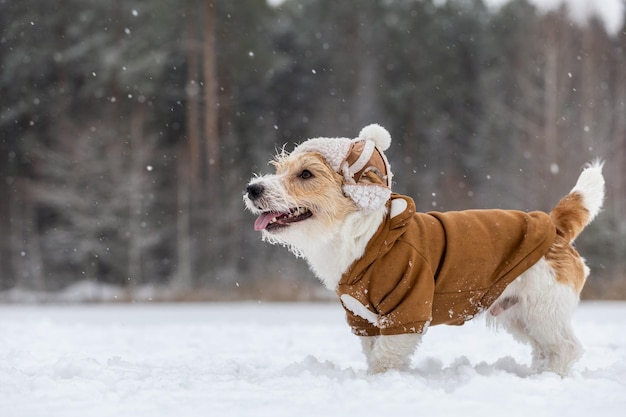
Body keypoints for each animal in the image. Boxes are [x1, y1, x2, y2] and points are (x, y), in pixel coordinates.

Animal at [241, 124, 604, 376]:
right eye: (278, 169)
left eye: (306, 174)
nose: (252, 188)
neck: (364, 237)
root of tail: (554, 226)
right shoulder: (363, 317)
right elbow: (373, 351)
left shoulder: (406, 309)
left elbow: (385, 358)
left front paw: (381, 384)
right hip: (519, 314)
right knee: (545, 350)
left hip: (544, 310)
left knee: (565, 348)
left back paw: (551, 379)